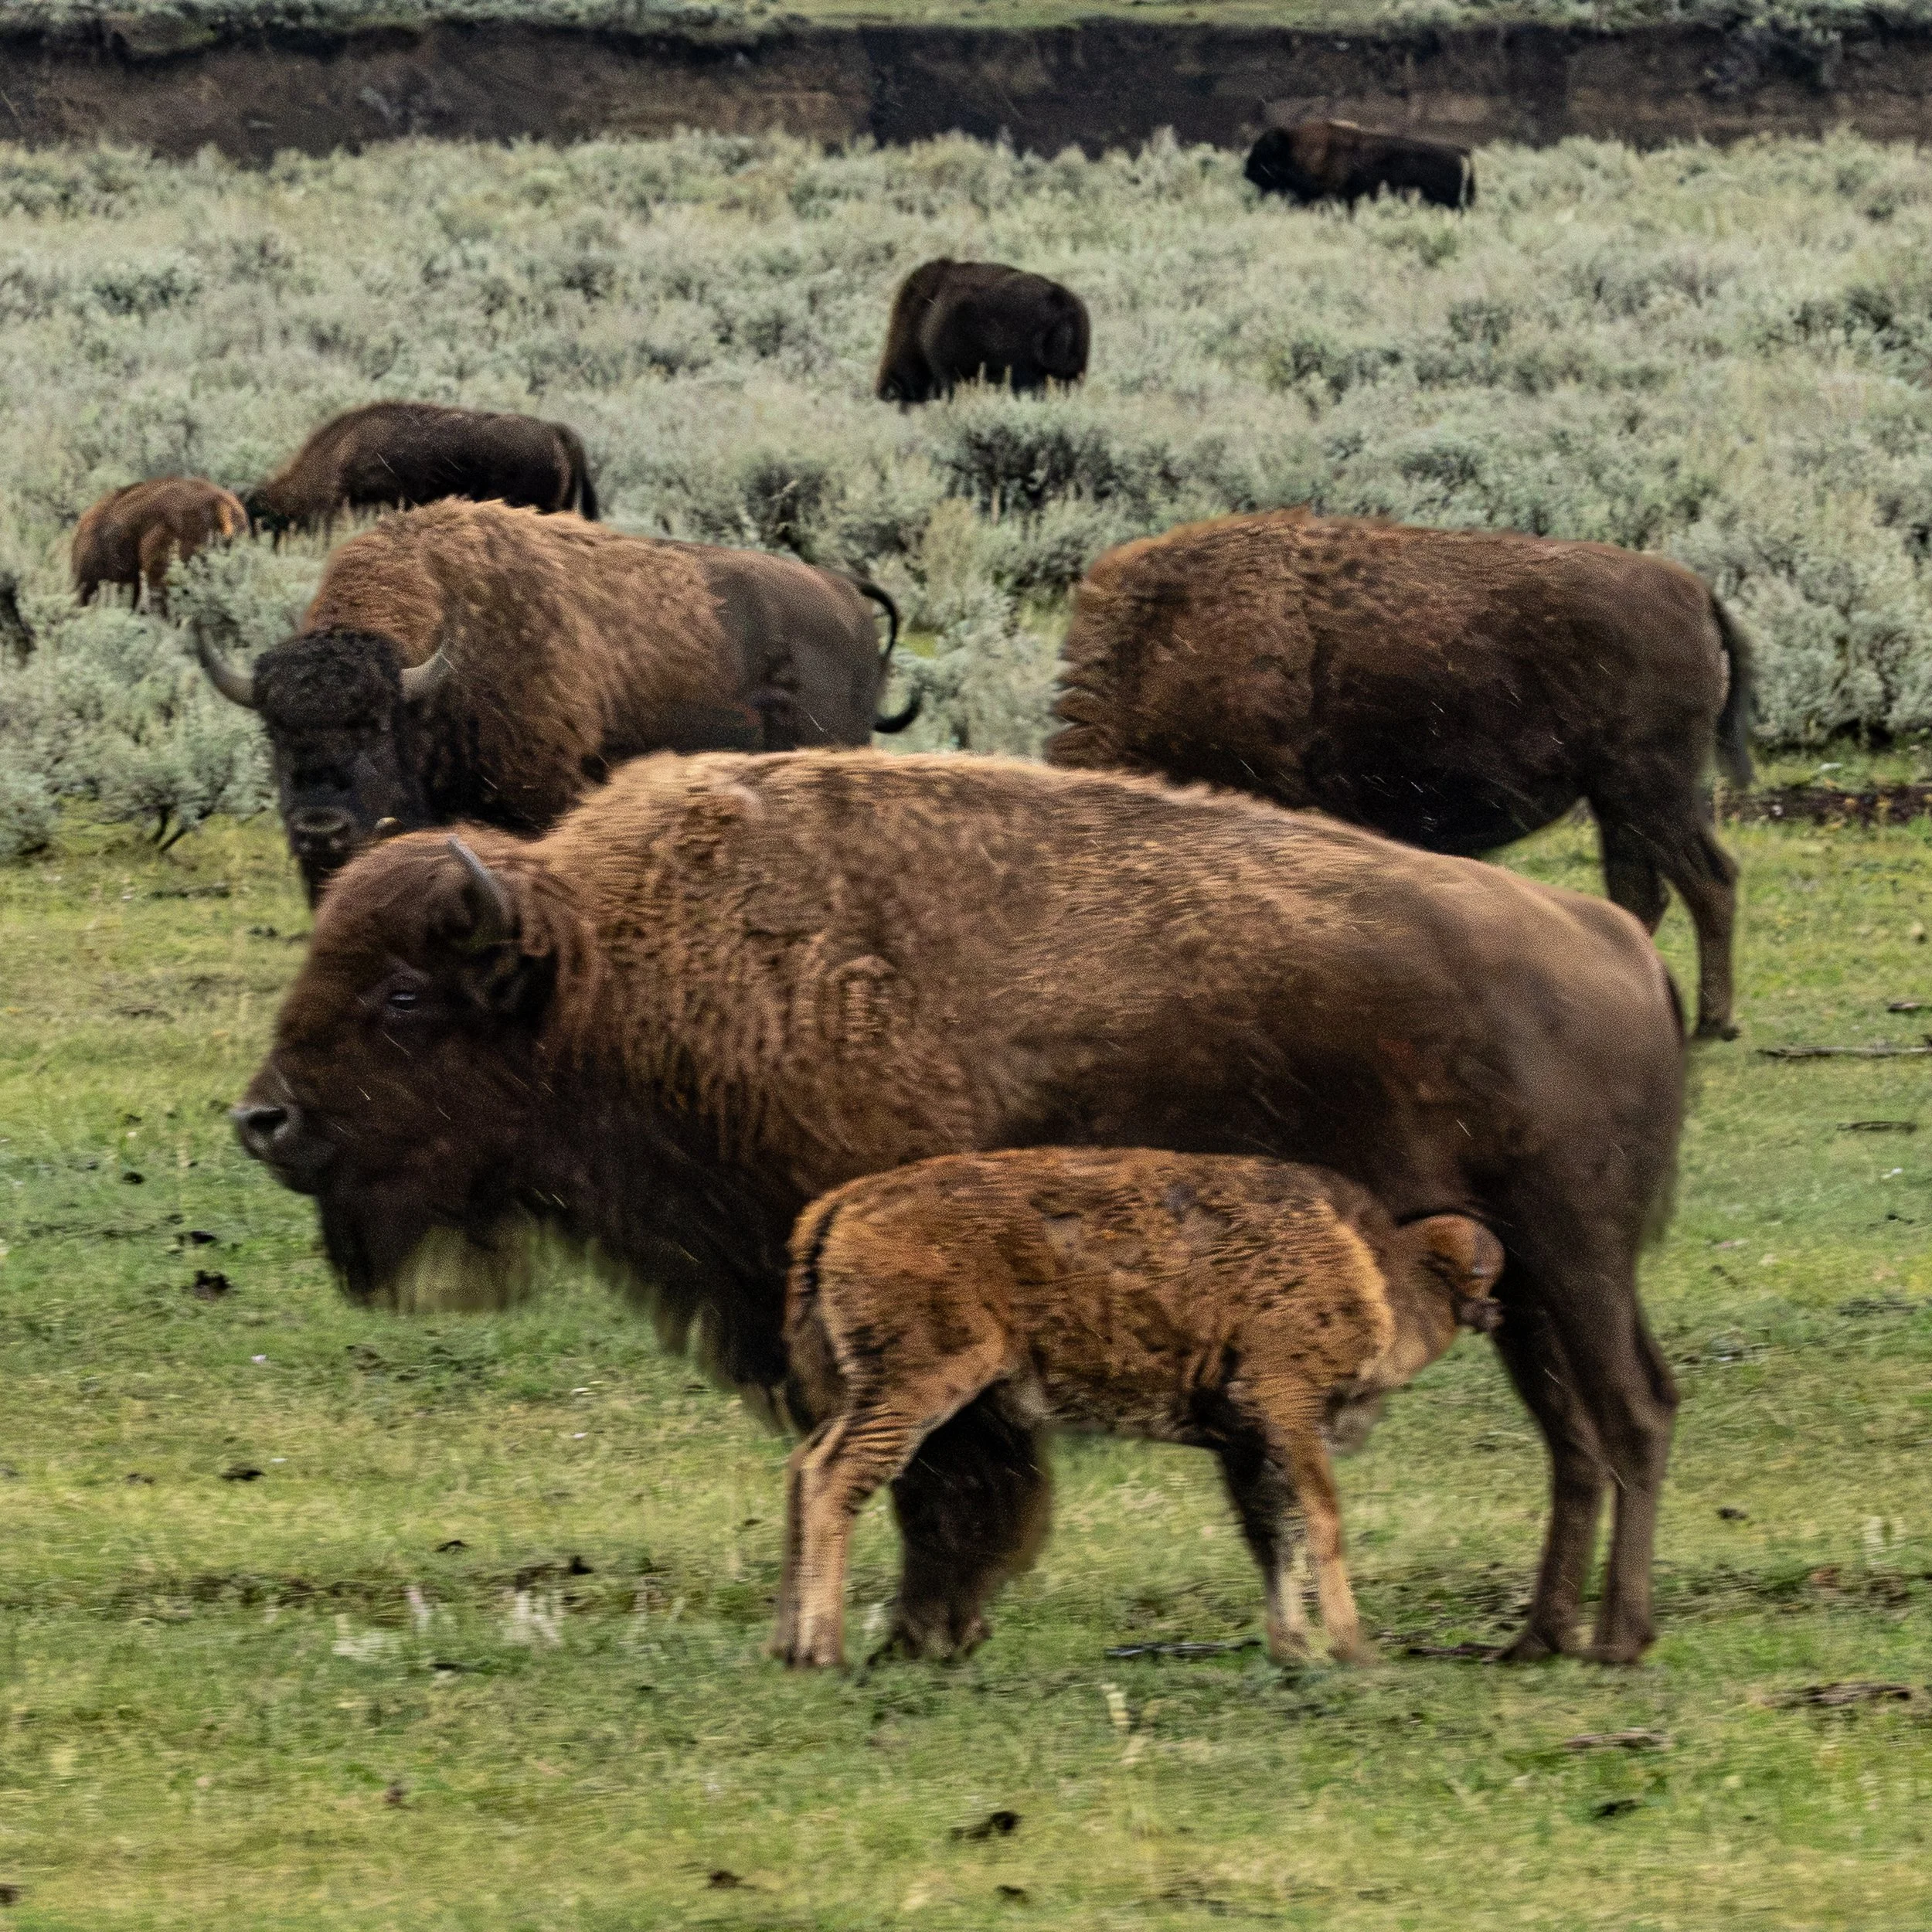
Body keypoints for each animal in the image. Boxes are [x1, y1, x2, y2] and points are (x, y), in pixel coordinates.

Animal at [232, 750, 1686, 1666]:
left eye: (404, 998)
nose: (264, 1122)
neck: (613, 966)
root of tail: (1614, 942)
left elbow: (954, 1479)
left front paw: (924, 1626)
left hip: (1576, 1258)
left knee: (1628, 1417)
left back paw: (1613, 1639)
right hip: (1520, 1288)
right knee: (1573, 1437)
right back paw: (1535, 1636)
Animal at [1047, 511, 1752, 1039]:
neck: (1160, 651)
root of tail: (1693, 591)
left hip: (1650, 789)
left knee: (1708, 880)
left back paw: (1711, 1024)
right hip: (1618, 803)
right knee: (1641, 894)